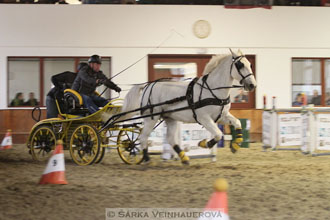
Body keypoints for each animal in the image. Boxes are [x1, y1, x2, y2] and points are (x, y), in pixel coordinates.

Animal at [120, 49, 256, 163]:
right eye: (240, 65)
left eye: (250, 64)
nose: (252, 85)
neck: (213, 90)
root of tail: (148, 86)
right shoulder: (204, 118)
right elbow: (218, 134)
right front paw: (205, 144)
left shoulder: (222, 116)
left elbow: (237, 123)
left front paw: (235, 145)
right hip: (151, 118)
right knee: (143, 137)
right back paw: (147, 159)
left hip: (170, 118)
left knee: (170, 139)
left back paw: (184, 158)